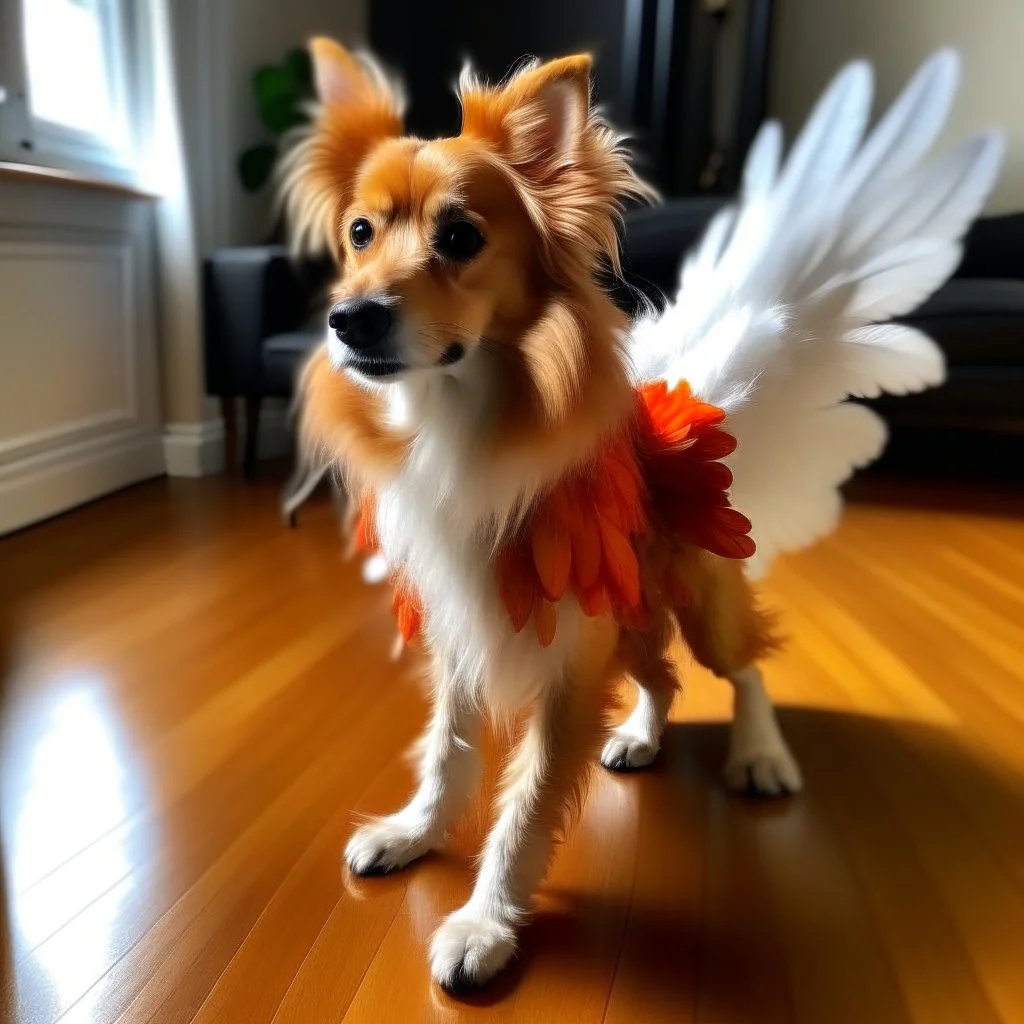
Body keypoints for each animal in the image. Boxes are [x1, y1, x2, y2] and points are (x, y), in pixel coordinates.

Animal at [280, 39, 999, 991]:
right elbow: (446, 750)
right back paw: (640, 736)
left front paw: (484, 923)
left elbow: (527, 802)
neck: (459, 418)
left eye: (460, 238)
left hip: (697, 605)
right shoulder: (465, 632)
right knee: (660, 678)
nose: (348, 318)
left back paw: (760, 756)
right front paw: (418, 832)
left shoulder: (566, 667)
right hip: (625, 618)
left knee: (741, 669)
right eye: (359, 235)